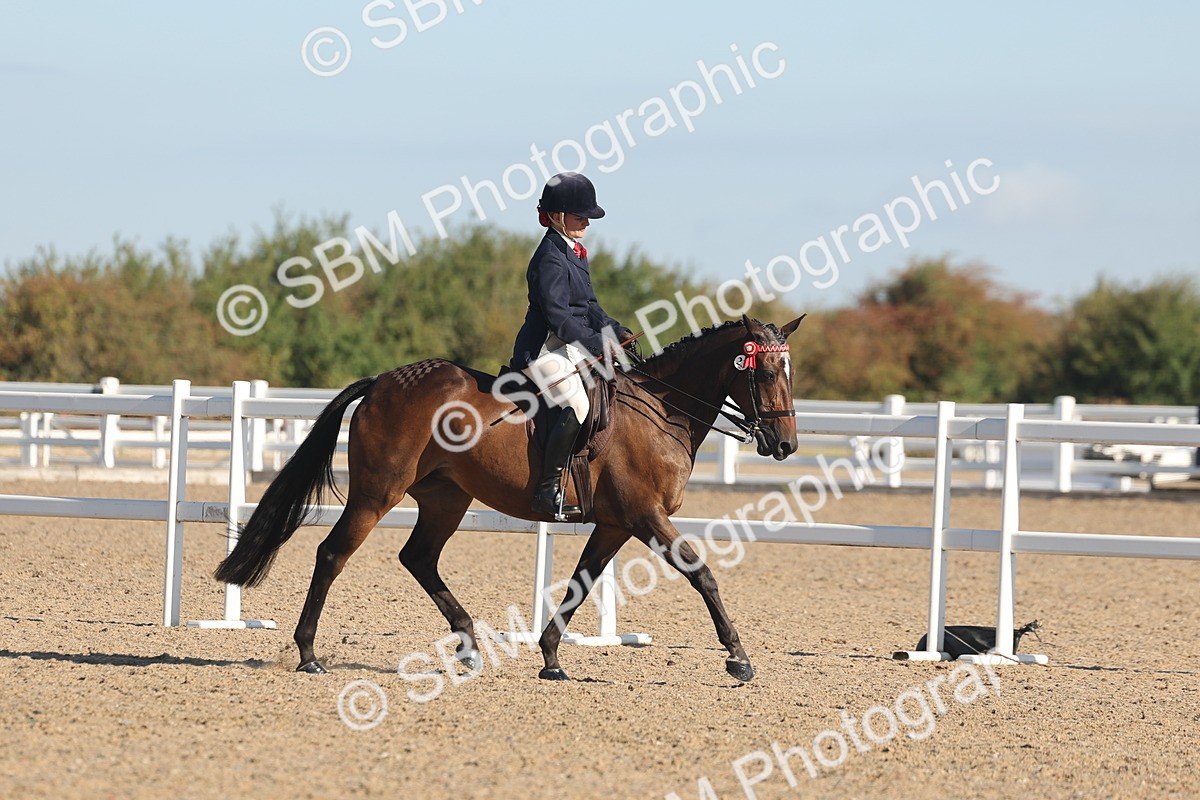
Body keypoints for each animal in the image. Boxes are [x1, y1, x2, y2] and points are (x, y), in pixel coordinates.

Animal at [215, 314, 802, 682]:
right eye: (766, 371)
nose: (785, 445)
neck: (661, 411)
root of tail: (383, 380)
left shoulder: (615, 524)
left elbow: (580, 585)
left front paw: (551, 660)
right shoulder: (645, 516)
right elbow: (702, 574)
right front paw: (738, 658)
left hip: (446, 498)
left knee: (418, 558)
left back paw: (470, 645)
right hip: (377, 493)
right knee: (333, 554)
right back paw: (309, 654)